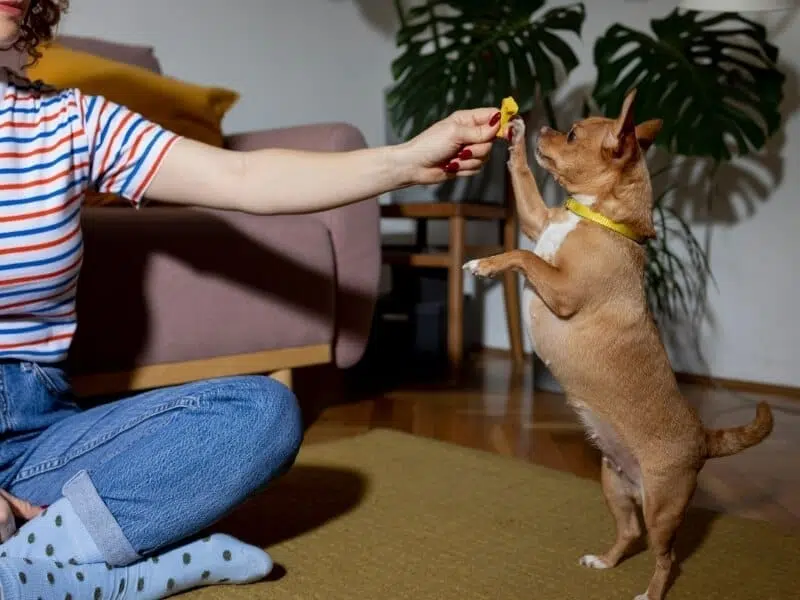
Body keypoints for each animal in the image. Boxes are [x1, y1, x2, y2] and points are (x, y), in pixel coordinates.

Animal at [466, 89, 772, 600]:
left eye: (571, 134)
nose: (541, 125)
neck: (594, 217)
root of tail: (703, 438)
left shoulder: (561, 290)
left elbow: (523, 255)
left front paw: (486, 263)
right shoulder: (536, 221)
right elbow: (525, 187)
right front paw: (515, 137)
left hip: (663, 508)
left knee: (666, 556)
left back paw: (651, 593)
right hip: (614, 484)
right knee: (629, 533)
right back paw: (605, 562)